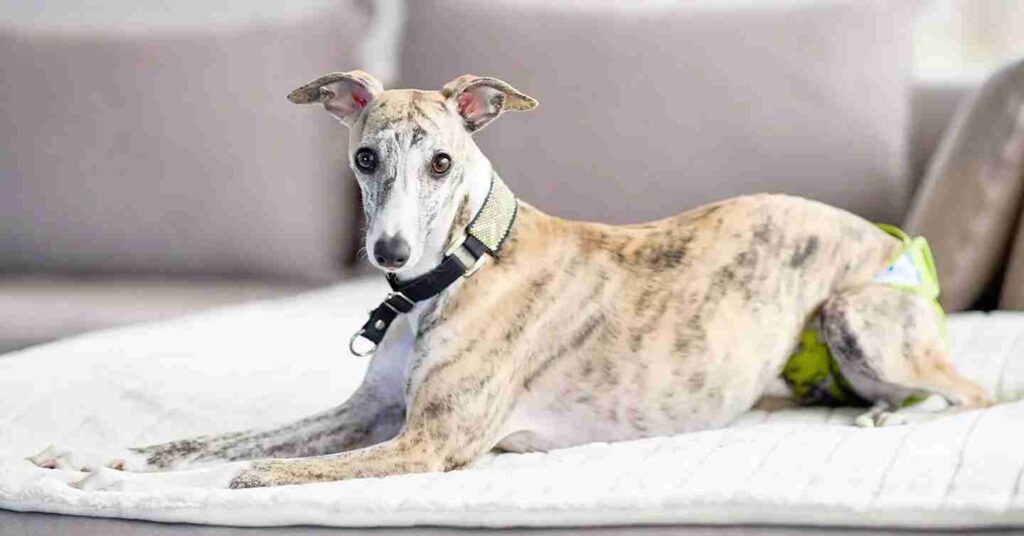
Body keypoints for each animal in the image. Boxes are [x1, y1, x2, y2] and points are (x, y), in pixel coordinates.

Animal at [34, 72, 991, 496]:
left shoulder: (427, 444)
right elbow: (210, 443)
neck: (456, 270)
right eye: (366, 158)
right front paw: (99, 459)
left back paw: (892, 412)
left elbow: (252, 469)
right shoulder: (365, 415)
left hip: (856, 312)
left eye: (443, 162)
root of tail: (892, 243)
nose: (387, 251)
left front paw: (123, 486)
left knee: (976, 394)